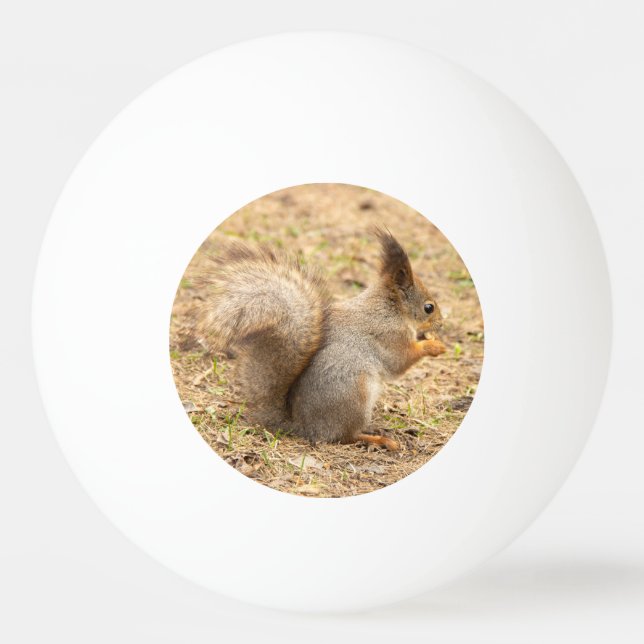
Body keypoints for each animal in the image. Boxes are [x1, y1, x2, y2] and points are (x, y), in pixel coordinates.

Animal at [196, 227, 446, 451]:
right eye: (429, 307)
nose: (441, 324)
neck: (390, 309)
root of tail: (305, 427)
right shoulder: (389, 336)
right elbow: (400, 361)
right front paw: (434, 345)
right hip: (354, 395)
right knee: (345, 437)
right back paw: (379, 440)